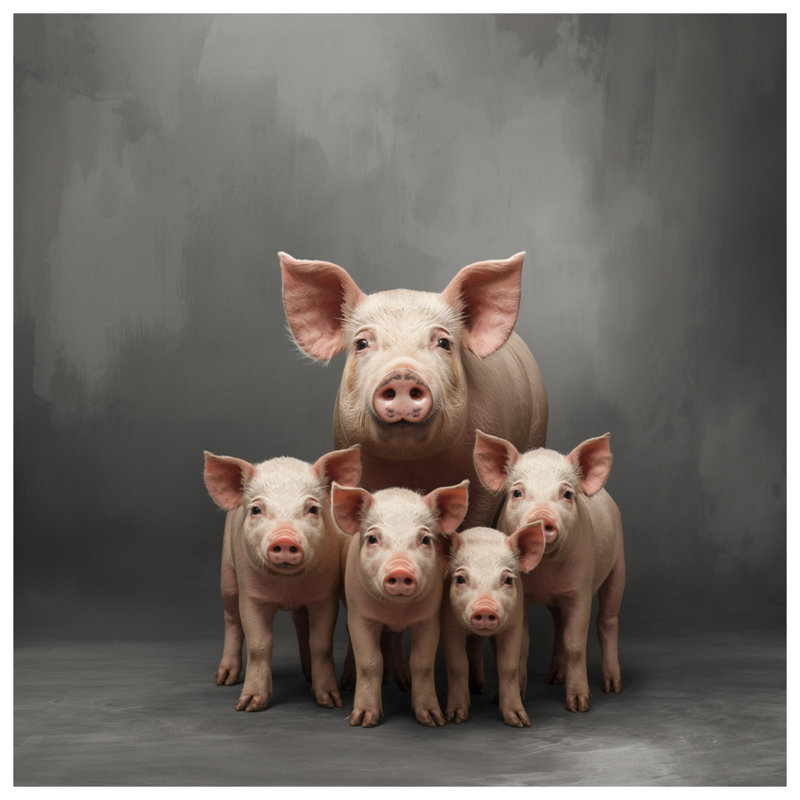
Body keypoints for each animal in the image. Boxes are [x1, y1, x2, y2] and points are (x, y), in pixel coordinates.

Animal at [203, 445, 361, 712]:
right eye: (256, 510)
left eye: (312, 509)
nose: (285, 538)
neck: (288, 587)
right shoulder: (250, 594)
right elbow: (259, 644)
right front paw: (248, 705)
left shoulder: (325, 595)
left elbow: (321, 644)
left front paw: (331, 702)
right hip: (227, 574)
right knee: (231, 618)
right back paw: (224, 679)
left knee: (302, 623)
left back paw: (311, 675)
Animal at [331, 480, 469, 727]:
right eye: (372, 538)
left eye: (425, 539)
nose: (400, 570)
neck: (396, 611)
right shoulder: (360, 615)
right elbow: (369, 662)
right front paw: (363, 721)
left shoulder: (429, 619)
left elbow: (422, 664)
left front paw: (434, 720)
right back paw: (348, 682)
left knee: (394, 637)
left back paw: (404, 683)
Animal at [441, 525, 546, 727]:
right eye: (460, 579)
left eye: (508, 580)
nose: (485, 608)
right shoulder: (449, 624)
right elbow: (457, 665)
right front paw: (456, 717)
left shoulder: (514, 624)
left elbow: (508, 666)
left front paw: (520, 722)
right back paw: (476, 690)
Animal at [473, 430, 625, 712]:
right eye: (517, 492)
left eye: (567, 494)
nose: (542, 518)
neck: (546, 574)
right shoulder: (522, 594)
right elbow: (523, 645)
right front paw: (509, 698)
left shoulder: (580, 589)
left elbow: (575, 643)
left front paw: (579, 705)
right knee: (559, 624)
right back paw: (553, 678)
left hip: (619, 563)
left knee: (607, 621)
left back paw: (613, 687)